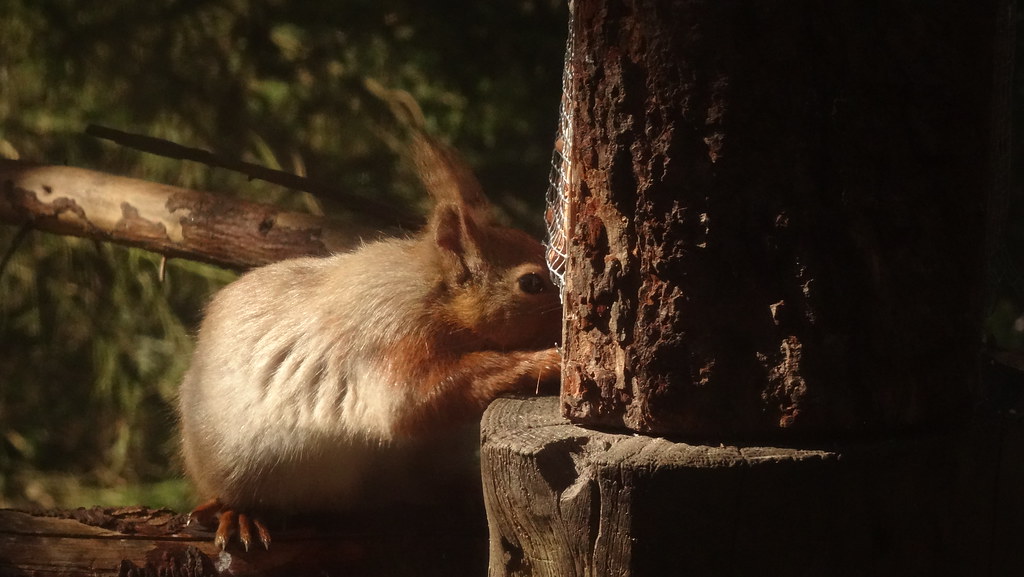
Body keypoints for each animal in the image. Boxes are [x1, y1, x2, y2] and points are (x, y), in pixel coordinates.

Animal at [176, 133, 562, 551]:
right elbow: (414, 399)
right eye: (532, 283)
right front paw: (546, 362)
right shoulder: (390, 338)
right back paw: (239, 514)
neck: (431, 295)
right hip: (229, 462)